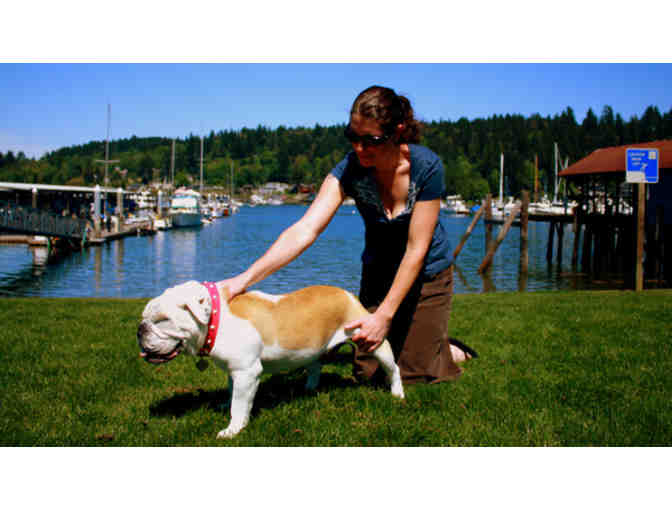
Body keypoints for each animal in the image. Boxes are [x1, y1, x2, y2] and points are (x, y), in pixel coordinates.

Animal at [137, 281, 405, 438]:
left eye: (163, 320)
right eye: (145, 317)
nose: (140, 329)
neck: (215, 319)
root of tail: (348, 294)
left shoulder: (246, 372)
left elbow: (239, 404)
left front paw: (233, 429)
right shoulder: (236, 371)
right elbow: (232, 391)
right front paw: (225, 404)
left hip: (373, 340)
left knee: (393, 368)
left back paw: (397, 393)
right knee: (315, 365)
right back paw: (309, 387)